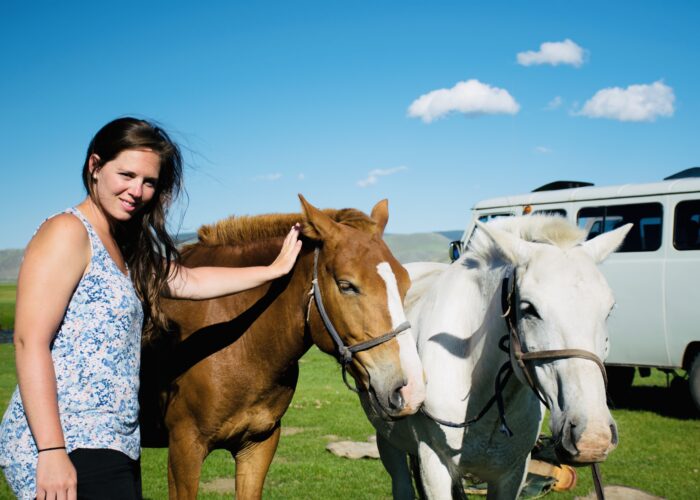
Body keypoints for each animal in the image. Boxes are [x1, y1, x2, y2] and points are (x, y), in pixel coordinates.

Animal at [140, 195, 425, 499]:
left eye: (405, 283)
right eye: (347, 285)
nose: (410, 389)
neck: (242, 346)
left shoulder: (258, 445)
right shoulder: (185, 449)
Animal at [360, 215, 631, 499]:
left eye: (609, 309)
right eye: (528, 308)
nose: (593, 437)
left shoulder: (512, 473)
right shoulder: (434, 466)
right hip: (388, 441)